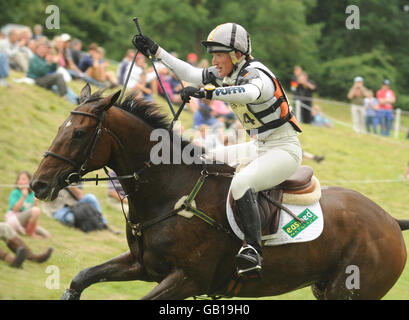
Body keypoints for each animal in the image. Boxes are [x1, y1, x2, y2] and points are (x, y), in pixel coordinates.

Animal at [31, 85, 408, 300]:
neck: (171, 192)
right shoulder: (142, 265)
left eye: (79, 134)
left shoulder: (186, 280)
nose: (38, 184)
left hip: (352, 290)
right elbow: (81, 279)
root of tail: (390, 221)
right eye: (61, 128)